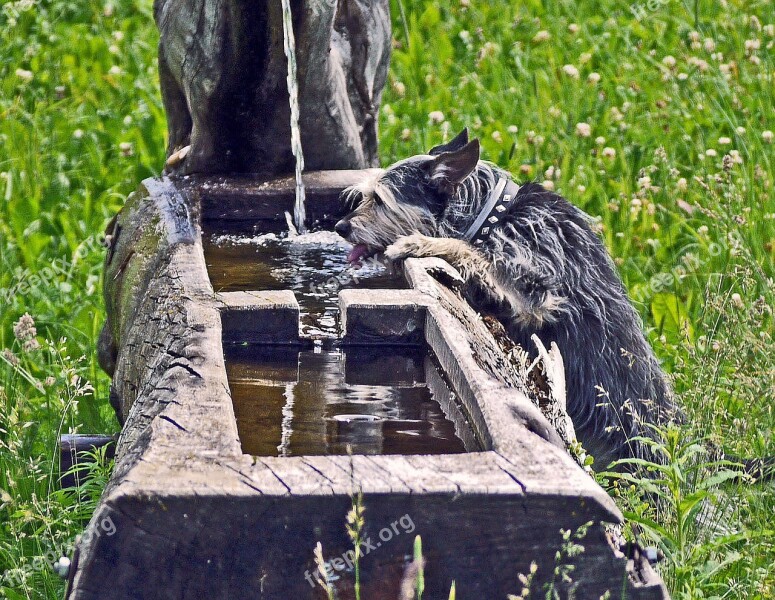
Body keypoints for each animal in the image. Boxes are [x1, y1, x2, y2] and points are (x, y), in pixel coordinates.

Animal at [336, 130, 684, 468]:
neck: (494, 218)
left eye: (379, 200)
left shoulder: (535, 293)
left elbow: (470, 251)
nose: (340, 226)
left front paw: (420, 243)